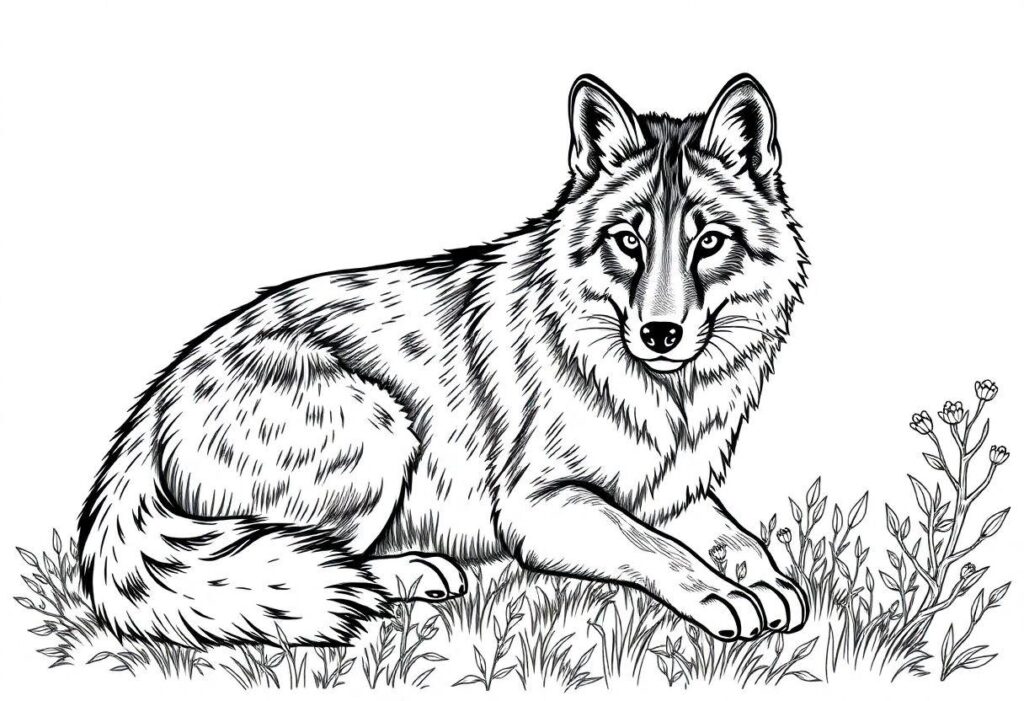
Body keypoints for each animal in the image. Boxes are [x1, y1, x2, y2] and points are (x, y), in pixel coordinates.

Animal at [78, 73, 809, 647]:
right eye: (628, 241)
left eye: (708, 242)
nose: (661, 333)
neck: (664, 398)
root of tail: (157, 396)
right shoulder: (537, 504)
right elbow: (653, 547)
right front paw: (721, 594)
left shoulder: (665, 490)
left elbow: (735, 537)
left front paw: (769, 580)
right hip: (380, 429)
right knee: (318, 560)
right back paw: (410, 573)